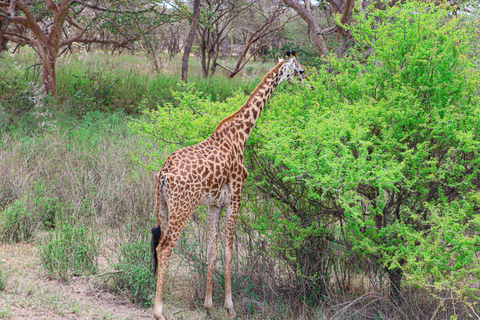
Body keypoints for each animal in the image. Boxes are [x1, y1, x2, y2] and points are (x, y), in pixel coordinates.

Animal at [152, 51, 310, 318]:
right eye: (300, 71)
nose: (309, 85)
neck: (241, 135)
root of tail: (165, 172)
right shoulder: (236, 197)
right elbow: (229, 252)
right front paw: (230, 306)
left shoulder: (215, 204)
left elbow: (211, 251)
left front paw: (208, 306)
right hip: (183, 207)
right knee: (165, 247)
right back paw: (159, 311)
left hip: (162, 206)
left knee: (158, 246)